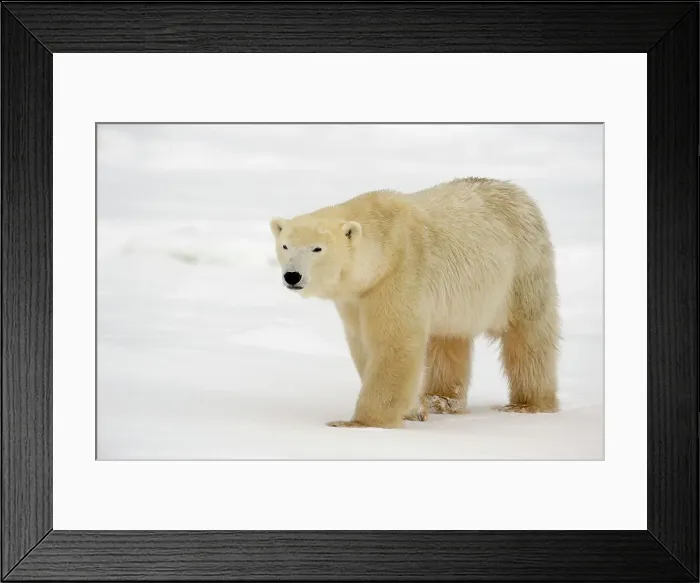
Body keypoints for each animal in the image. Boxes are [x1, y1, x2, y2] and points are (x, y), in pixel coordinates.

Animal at [269, 177, 560, 429]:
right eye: (285, 246)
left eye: (317, 248)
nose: (292, 275)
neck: (383, 247)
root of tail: (520, 193)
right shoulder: (357, 296)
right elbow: (363, 343)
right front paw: (414, 410)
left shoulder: (400, 273)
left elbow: (394, 342)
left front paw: (360, 422)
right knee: (448, 339)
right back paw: (440, 400)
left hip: (524, 268)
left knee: (528, 335)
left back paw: (528, 404)